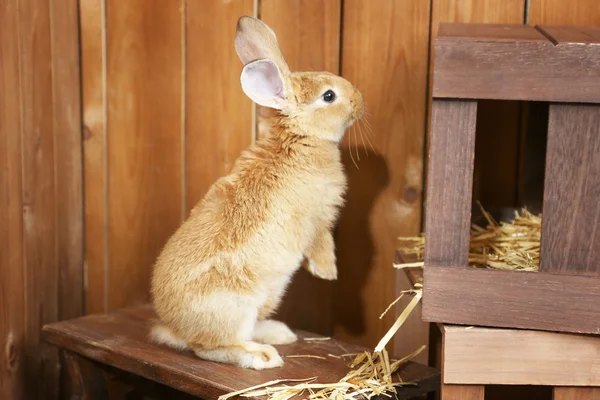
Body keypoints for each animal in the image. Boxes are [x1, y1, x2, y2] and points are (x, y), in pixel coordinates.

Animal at [150, 16, 364, 372]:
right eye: (329, 96)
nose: (359, 100)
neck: (300, 139)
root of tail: (176, 328)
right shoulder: (318, 219)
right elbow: (323, 245)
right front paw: (328, 273)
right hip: (236, 306)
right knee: (208, 347)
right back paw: (262, 356)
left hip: (268, 296)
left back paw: (279, 333)